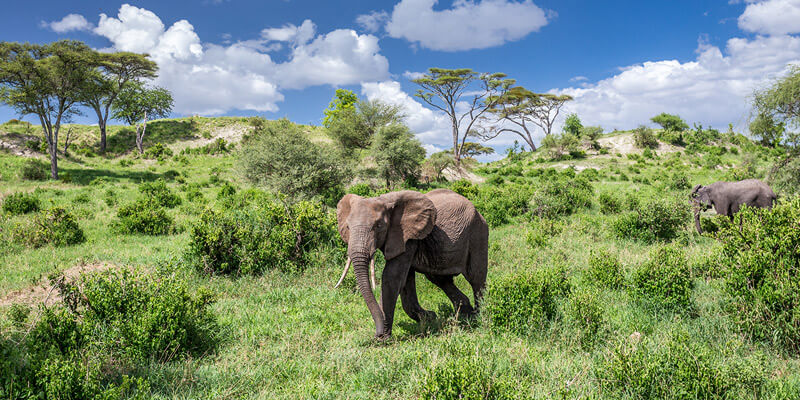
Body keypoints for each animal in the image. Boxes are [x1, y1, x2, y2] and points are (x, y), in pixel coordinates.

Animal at [332, 189, 488, 340]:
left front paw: (383, 339)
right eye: (348, 227)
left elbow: (391, 277)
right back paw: (465, 313)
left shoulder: (406, 236)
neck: (384, 200)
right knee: (439, 279)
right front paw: (430, 318)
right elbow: (405, 281)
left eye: (378, 226)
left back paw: (478, 315)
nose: (377, 334)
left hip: (478, 234)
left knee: (476, 277)